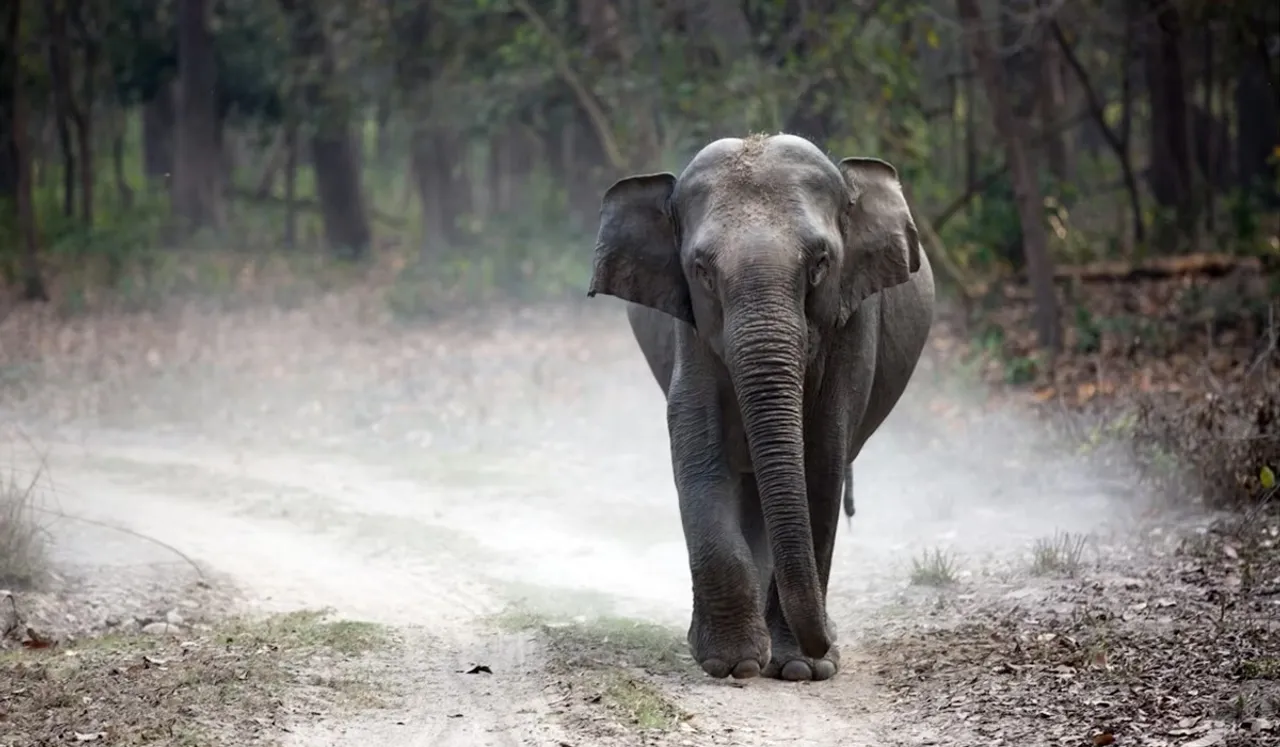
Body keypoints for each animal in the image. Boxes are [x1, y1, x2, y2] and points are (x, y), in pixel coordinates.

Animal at [588, 133, 935, 682]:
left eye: (820, 263)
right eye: (702, 271)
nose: (827, 643)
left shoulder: (854, 322)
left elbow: (822, 457)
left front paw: (799, 669)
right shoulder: (690, 330)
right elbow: (697, 445)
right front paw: (733, 664)